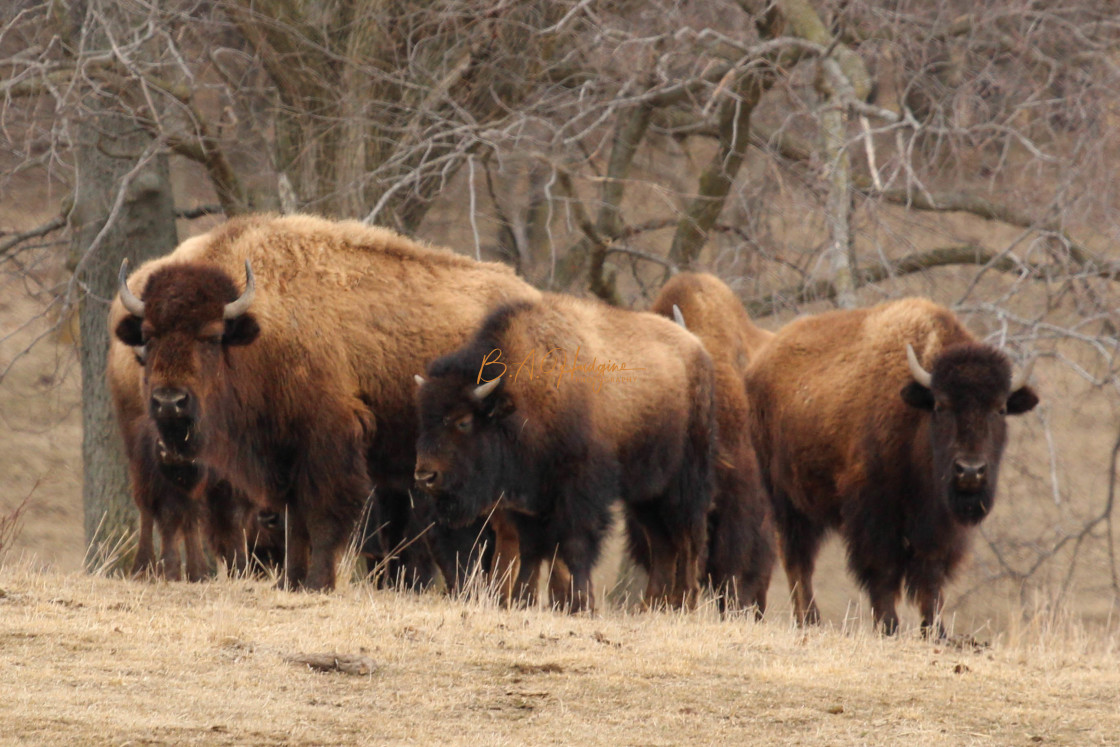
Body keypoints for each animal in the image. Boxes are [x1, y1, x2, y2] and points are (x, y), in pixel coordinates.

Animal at [108, 210, 537, 591]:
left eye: (211, 337)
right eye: (148, 336)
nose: (169, 402)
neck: (263, 328)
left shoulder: (327, 441)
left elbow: (320, 517)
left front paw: (317, 582)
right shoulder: (283, 454)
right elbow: (293, 519)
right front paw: (292, 581)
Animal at [743, 297, 1039, 636]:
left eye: (1000, 408)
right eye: (941, 405)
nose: (970, 471)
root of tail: (759, 363)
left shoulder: (940, 524)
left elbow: (931, 575)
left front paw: (935, 630)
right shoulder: (874, 513)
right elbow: (882, 570)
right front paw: (888, 626)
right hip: (786, 500)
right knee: (797, 559)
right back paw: (809, 620)